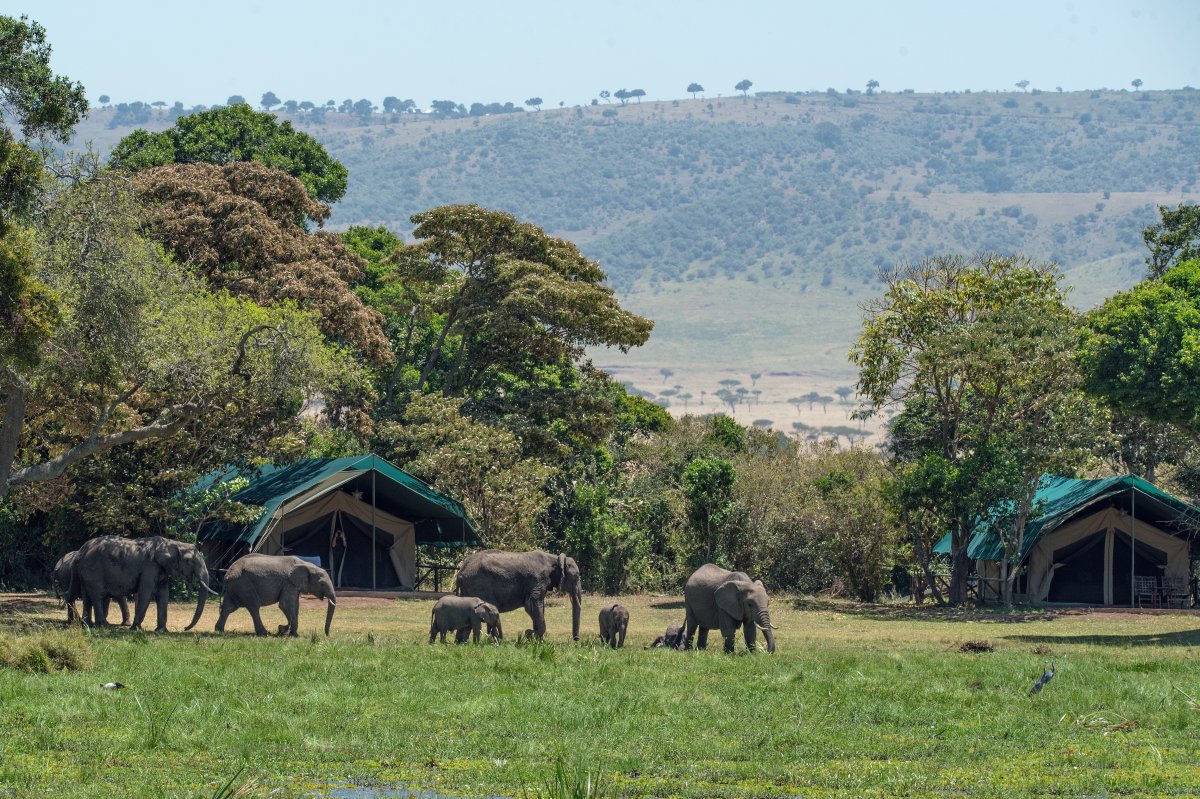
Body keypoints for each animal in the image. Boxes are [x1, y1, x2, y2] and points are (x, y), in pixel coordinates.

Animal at [70, 535, 212, 628]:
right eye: (189, 561)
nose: (185, 628)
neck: (172, 543)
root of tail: (81, 552)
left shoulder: (161, 569)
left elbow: (164, 595)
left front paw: (161, 631)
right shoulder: (150, 567)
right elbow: (146, 593)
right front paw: (136, 628)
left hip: (84, 573)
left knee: (87, 598)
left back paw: (88, 625)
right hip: (93, 571)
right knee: (97, 596)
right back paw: (103, 625)